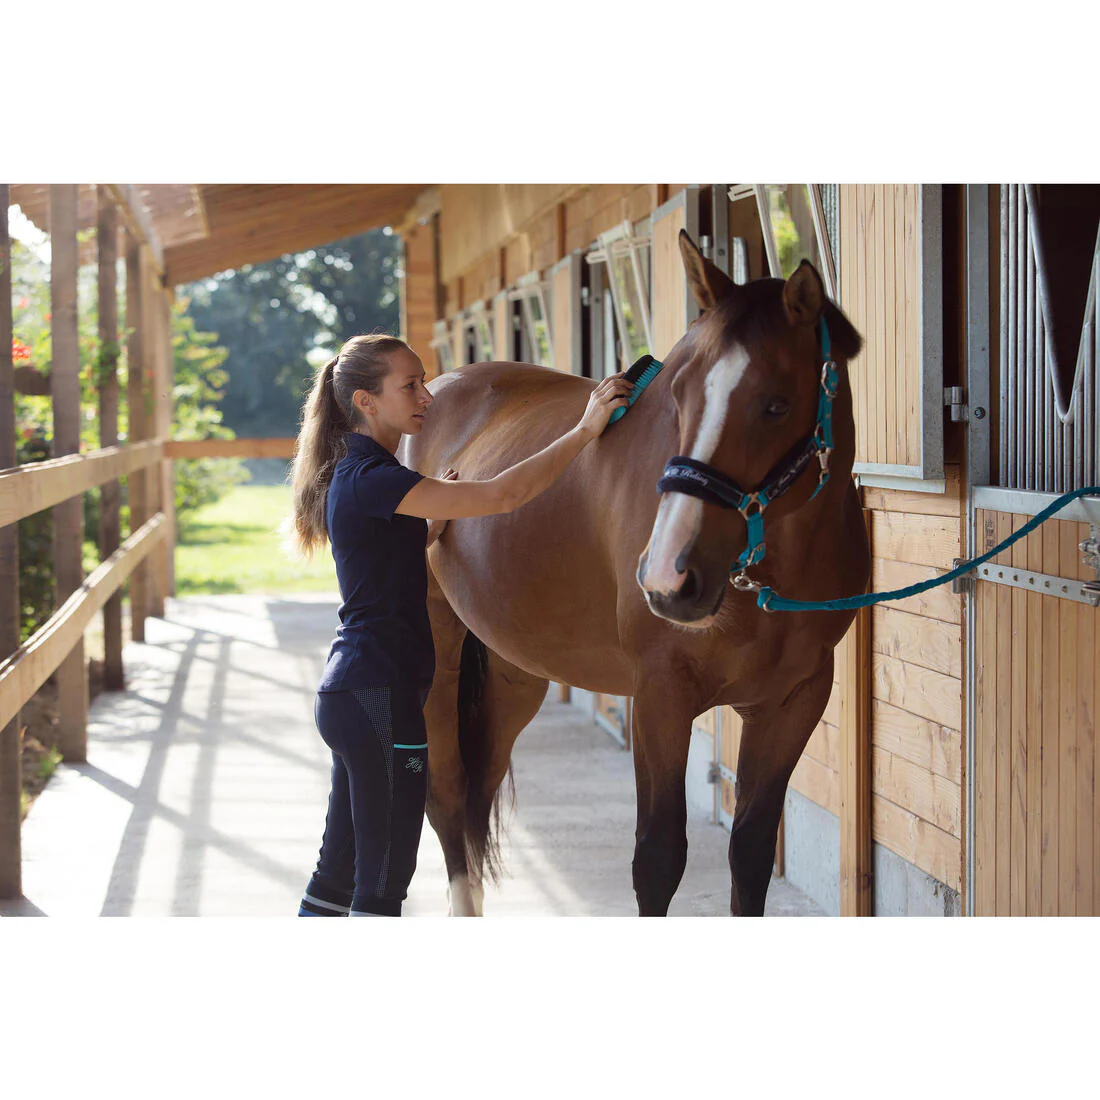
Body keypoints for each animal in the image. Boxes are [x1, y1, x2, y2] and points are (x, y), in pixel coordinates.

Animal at [403, 231, 868, 916]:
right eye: (680, 395)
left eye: (777, 404)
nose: (670, 577)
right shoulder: (658, 696)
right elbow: (658, 859)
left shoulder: (793, 700)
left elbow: (751, 853)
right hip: (435, 658)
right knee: (445, 793)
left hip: (516, 669)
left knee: (476, 791)